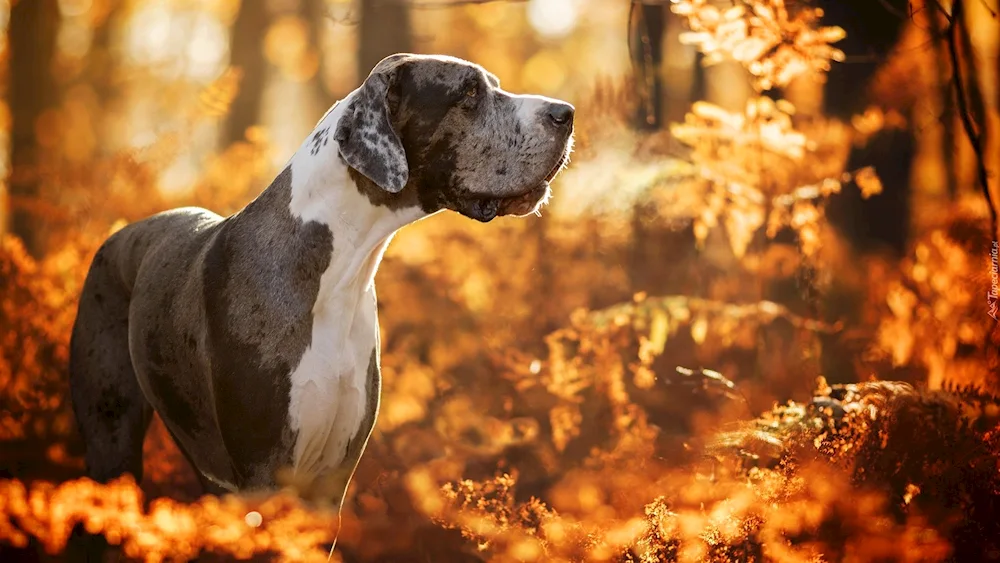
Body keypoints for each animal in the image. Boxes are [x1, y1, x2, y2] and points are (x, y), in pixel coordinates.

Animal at [66, 55, 576, 516]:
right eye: (469, 93)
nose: (566, 113)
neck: (339, 275)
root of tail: (118, 233)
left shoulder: (333, 481)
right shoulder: (262, 471)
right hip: (111, 438)